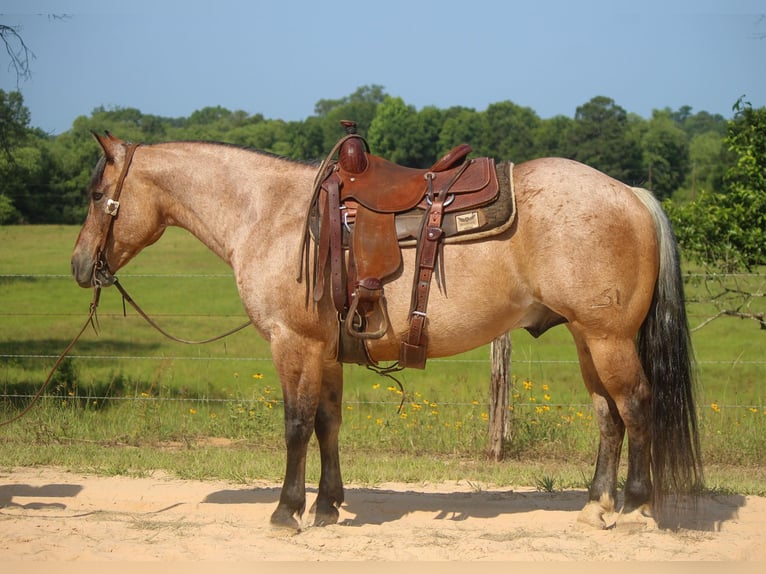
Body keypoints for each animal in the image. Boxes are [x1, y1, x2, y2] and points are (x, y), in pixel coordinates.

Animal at [70, 130, 704, 532]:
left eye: (98, 197)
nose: (79, 266)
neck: (270, 214)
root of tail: (631, 193)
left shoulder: (294, 343)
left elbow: (296, 425)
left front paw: (286, 512)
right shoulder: (327, 350)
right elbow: (327, 424)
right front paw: (327, 506)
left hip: (608, 338)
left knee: (637, 406)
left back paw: (636, 507)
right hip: (585, 338)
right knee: (607, 415)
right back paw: (597, 506)